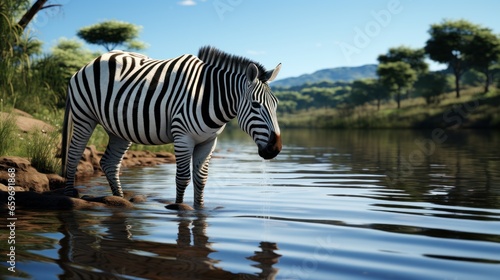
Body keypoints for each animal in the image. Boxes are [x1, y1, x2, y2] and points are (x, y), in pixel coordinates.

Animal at [60, 45, 282, 208]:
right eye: (256, 105)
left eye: (276, 105)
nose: (276, 148)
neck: (208, 95)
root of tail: (89, 63)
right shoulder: (183, 136)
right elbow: (183, 178)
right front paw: (178, 207)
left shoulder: (209, 141)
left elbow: (201, 179)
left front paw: (200, 209)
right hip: (84, 116)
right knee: (73, 155)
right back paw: (68, 197)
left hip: (119, 128)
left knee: (109, 163)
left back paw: (120, 199)